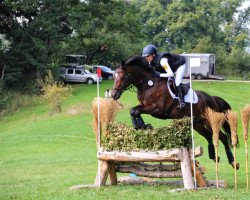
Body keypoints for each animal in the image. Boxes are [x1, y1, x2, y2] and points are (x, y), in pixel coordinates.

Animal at [110, 55, 239, 170]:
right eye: (113, 76)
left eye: (122, 76)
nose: (113, 94)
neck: (148, 84)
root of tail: (212, 98)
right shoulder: (144, 106)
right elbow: (133, 110)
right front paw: (142, 126)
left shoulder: (157, 109)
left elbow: (136, 111)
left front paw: (142, 125)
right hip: (197, 123)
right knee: (208, 135)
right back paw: (213, 156)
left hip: (209, 120)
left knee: (222, 137)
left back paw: (233, 162)